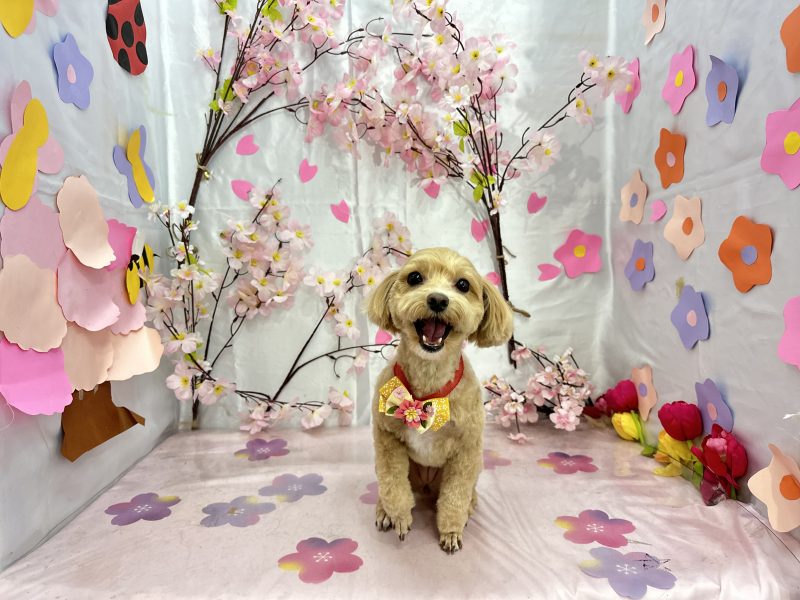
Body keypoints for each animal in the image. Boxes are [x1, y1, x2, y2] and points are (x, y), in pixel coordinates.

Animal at [366, 247, 513, 553]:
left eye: (463, 285)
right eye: (414, 277)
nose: (437, 299)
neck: (428, 383)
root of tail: (424, 487)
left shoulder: (466, 450)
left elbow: (456, 495)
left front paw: (451, 530)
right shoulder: (387, 437)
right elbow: (391, 483)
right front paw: (398, 516)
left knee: (466, 493)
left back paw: (469, 508)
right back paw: (384, 511)